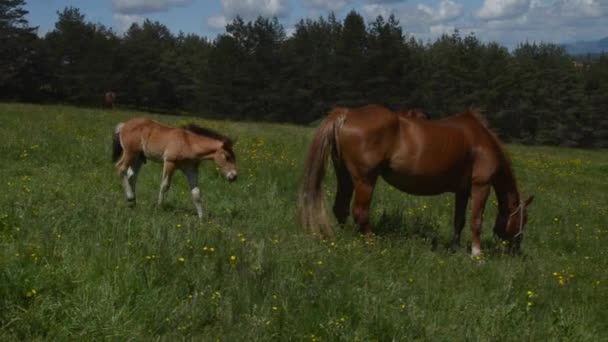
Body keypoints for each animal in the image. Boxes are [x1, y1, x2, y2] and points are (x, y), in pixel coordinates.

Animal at [302, 104, 536, 256]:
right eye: (523, 219)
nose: (516, 249)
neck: (482, 141)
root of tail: (347, 114)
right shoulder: (481, 186)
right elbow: (476, 220)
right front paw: (477, 254)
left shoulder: (462, 191)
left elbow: (459, 220)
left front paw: (455, 248)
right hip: (365, 179)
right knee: (360, 212)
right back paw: (371, 242)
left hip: (345, 176)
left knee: (341, 208)